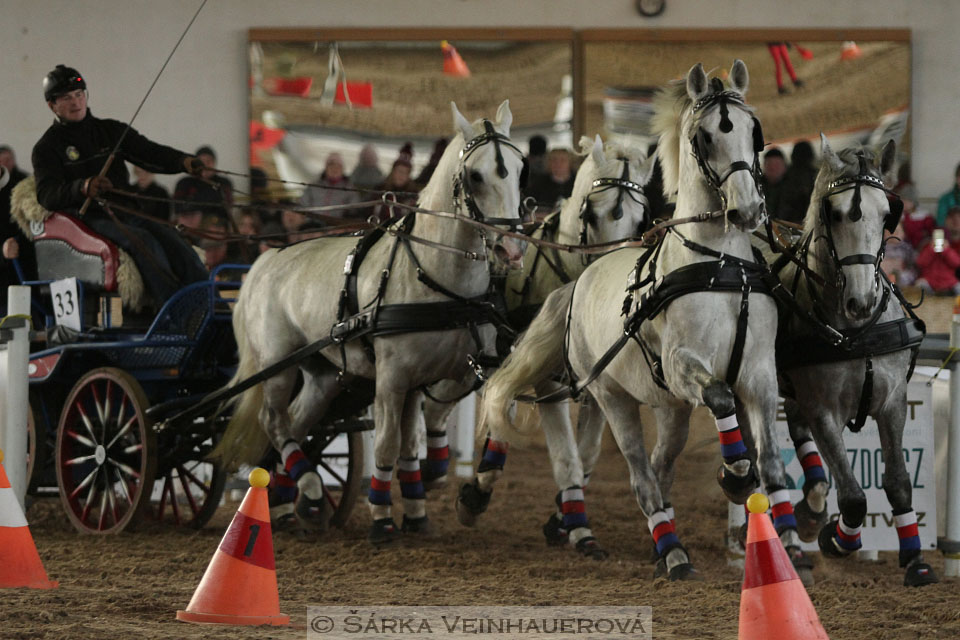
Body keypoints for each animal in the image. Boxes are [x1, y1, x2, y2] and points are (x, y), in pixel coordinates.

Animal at [214, 102, 524, 544]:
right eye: (475, 175)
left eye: (519, 167)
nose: (511, 248)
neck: (439, 281)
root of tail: (265, 259)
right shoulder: (393, 378)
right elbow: (388, 444)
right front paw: (382, 517)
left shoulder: (462, 370)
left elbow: (457, 431)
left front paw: (458, 499)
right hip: (277, 364)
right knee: (274, 421)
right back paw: (309, 491)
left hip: (323, 374)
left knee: (298, 423)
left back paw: (295, 502)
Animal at [420, 136, 660, 504]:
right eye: (591, 214)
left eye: (640, 219)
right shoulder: (550, 379)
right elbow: (567, 456)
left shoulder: (597, 376)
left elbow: (587, 454)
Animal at [462, 62, 808, 584]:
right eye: (704, 137)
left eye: (755, 131)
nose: (747, 210)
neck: (719, 266)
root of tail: (580, 282)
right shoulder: (683, 365)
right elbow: (719, 397)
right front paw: (734, 476)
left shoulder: (759, 376)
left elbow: (771, 463)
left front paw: (787, 540)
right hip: (613, 397)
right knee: (641, 475)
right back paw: (672, 552)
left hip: (668, 406)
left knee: (662, 464)